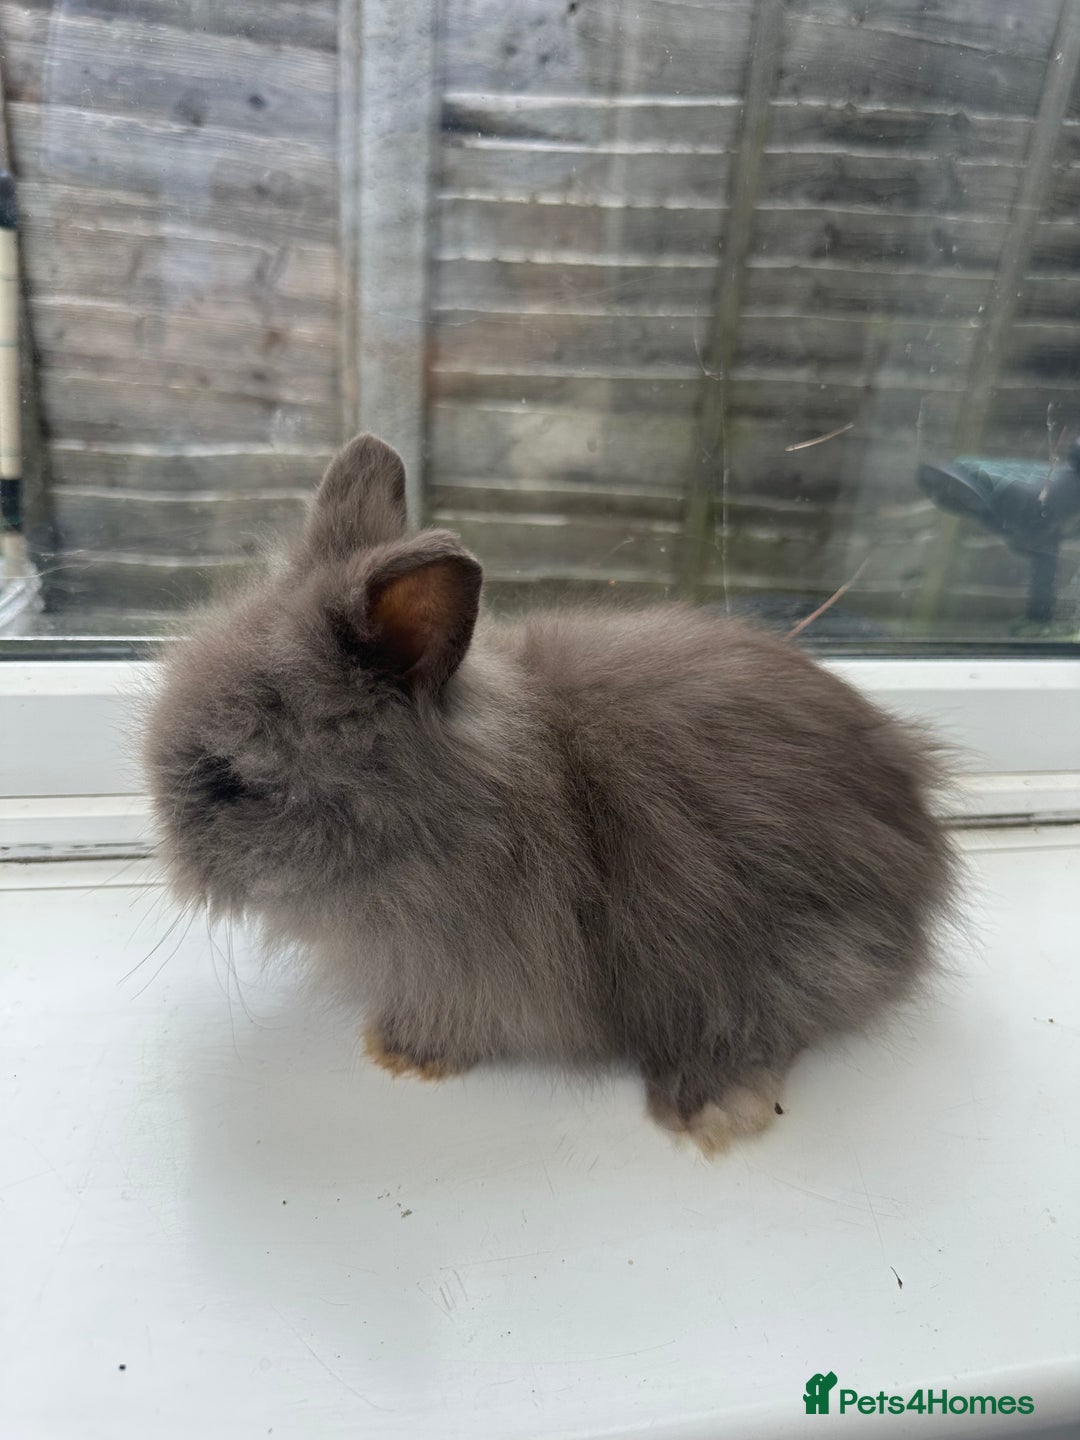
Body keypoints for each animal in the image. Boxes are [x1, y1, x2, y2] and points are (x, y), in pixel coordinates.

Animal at [144, 434, 956, 1155]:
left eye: (233, 778)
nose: (172, 855)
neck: (449, 815)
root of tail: (922, 844)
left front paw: (402, 1051)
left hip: (782, 954)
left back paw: (709, 1106)